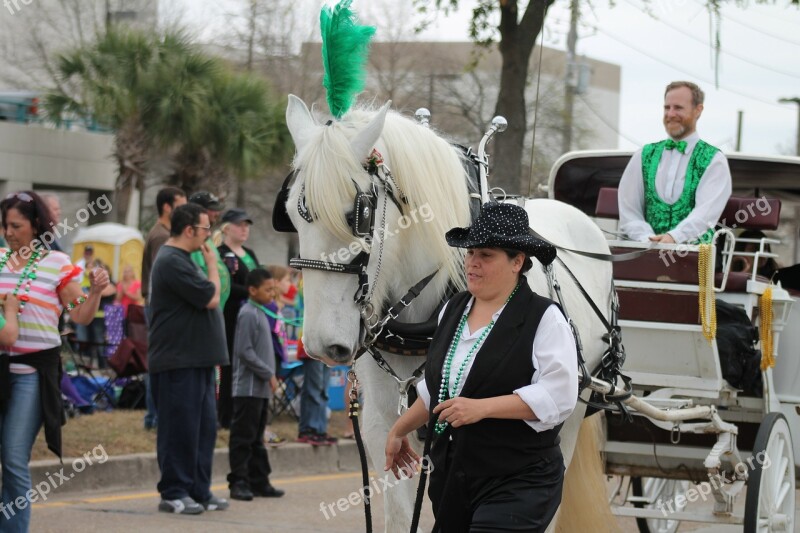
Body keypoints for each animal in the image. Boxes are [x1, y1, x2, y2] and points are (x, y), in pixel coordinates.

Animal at [288, 93, 620, 528]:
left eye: (357, 215)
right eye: (290, 215)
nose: (322, 345)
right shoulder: (383, 429)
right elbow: (400, 514)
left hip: (571, 411)